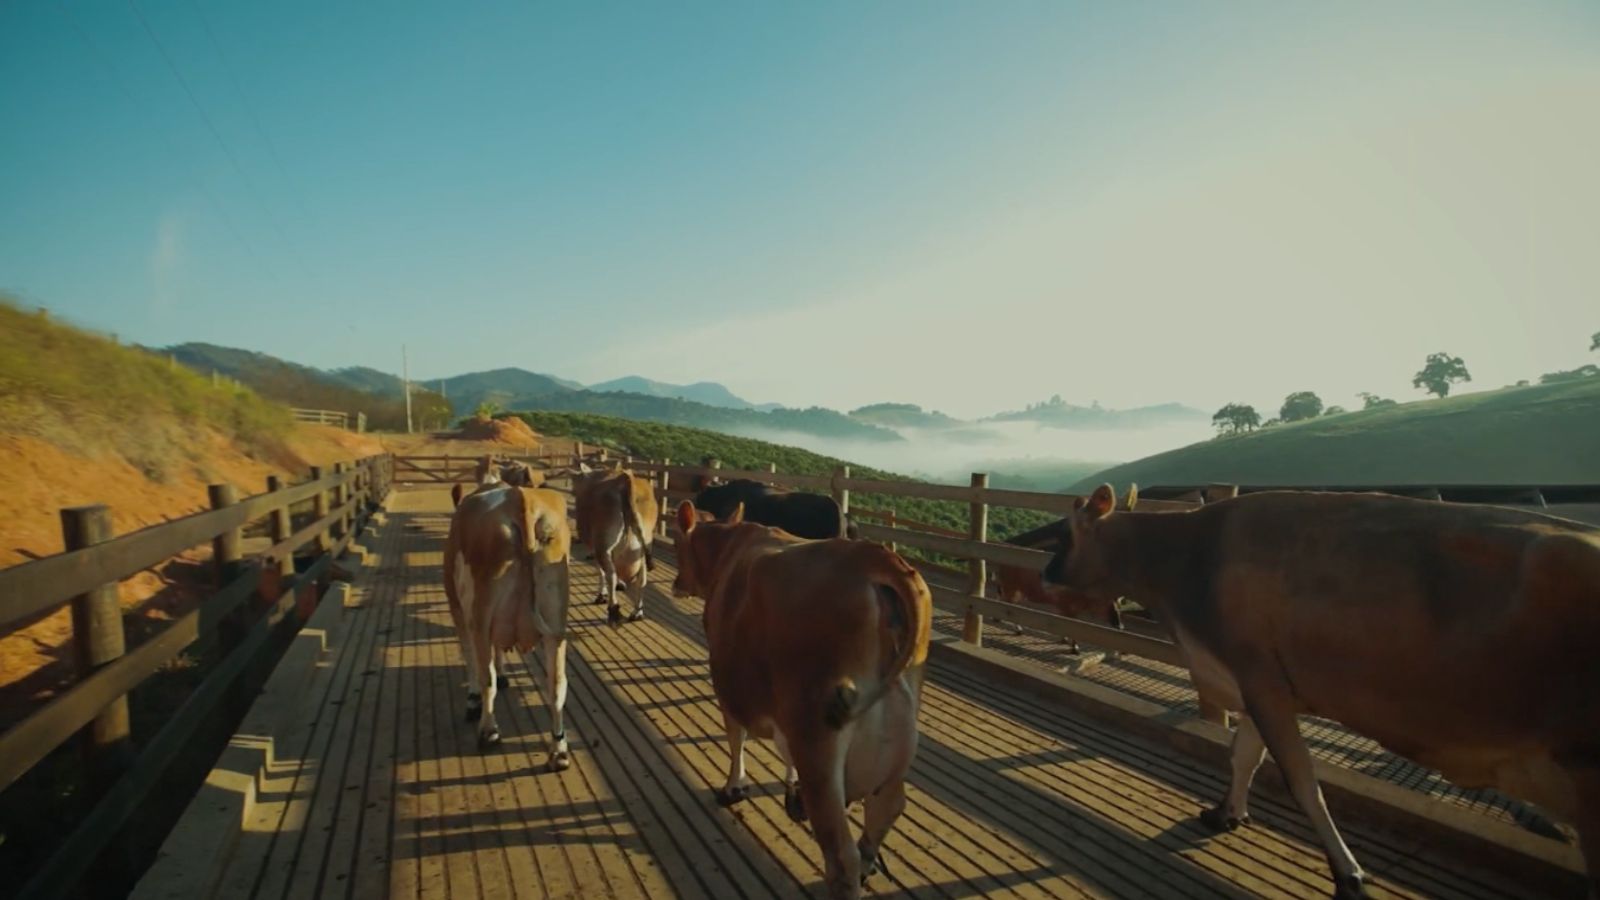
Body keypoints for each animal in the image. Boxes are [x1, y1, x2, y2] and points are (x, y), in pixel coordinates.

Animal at [444, 480, 576, 768]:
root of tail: (520, 498)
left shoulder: (459, 610)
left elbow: (471, 659)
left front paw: (472, 700)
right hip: (555, 618)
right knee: (557, 684)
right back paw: (559, 749)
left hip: (479, 614)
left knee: (486, 678)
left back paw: (488, 731)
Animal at [572, 461, 659, 624]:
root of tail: (625, 480)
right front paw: (621, 584)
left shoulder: (595, 546)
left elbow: (601, 571)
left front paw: (602, 594)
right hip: (643, 545)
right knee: (641, 579)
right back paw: (637, 612)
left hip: (603, 545)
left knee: (610, 575)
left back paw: (613, 610)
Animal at [668, 496, 934, 896]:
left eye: (677, 544)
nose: (676, 582)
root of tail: (874, 559)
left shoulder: (727, 682)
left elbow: (736, 736)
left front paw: (734, 786)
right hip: (892, 740)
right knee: (885, 811)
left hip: (816, 733)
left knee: (841, 855)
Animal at [1036, 483, 1600, 896]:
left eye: (1064, 538)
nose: (1043, 575)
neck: (1185, 567)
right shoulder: (1252, 680)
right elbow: (1244, 755)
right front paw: (1225, 813)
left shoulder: (1259, 677)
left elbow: (1300, 779)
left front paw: (1348, 871)